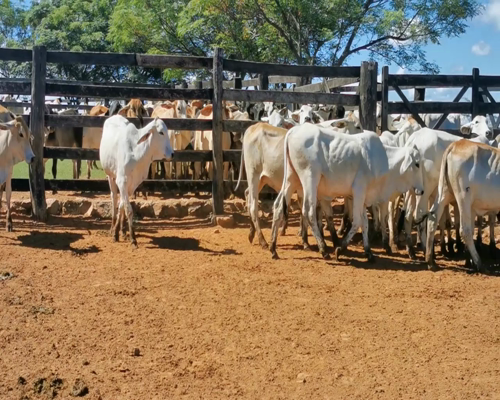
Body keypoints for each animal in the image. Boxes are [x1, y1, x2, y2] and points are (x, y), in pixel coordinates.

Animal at [99, 115, 174, 247]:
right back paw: (112, 227)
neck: (137, 152)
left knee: (119, 202)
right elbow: (128, 209)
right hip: (110, 176)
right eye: (161, 132)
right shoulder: (121, 181)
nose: (172, 154)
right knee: (114, 198)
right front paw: (131, 238)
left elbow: (123, 206)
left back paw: (122, 231)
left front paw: (120, 232)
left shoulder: (132, 185)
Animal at [268, 126, 424, 260]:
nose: (422, 190)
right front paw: (340, 248)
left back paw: (273, 248)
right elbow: (357, 221)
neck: (383, 161)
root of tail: (293, 130)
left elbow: (365, 222)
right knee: (309, 212)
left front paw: (368, 251)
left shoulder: (362, 196)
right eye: (417, 164)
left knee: (278, 207)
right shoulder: (359, 191)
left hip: (291, 179)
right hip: (309, 179)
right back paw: (323, 249)